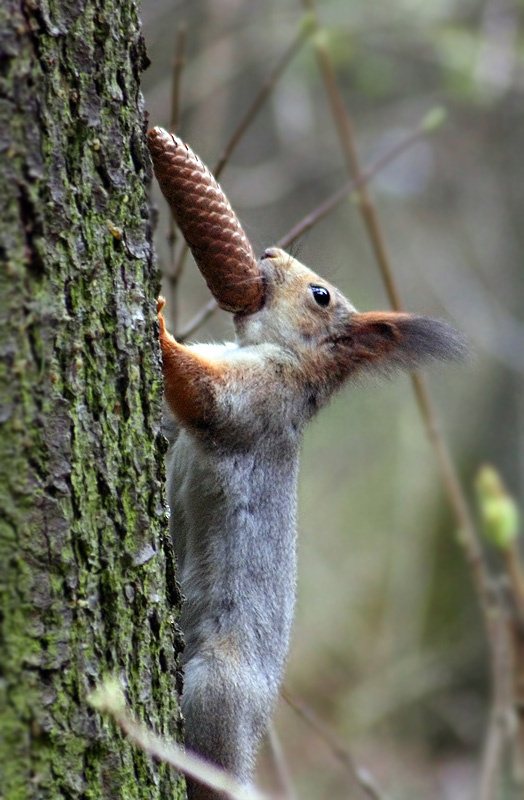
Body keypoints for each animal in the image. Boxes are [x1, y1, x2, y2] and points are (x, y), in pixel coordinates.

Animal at [148, 128, 467, 800]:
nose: (266, 250)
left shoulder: (258, 400)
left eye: (320, 295)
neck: (281, 358)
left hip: (216, 687)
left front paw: (159, 323)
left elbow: (203, 394)